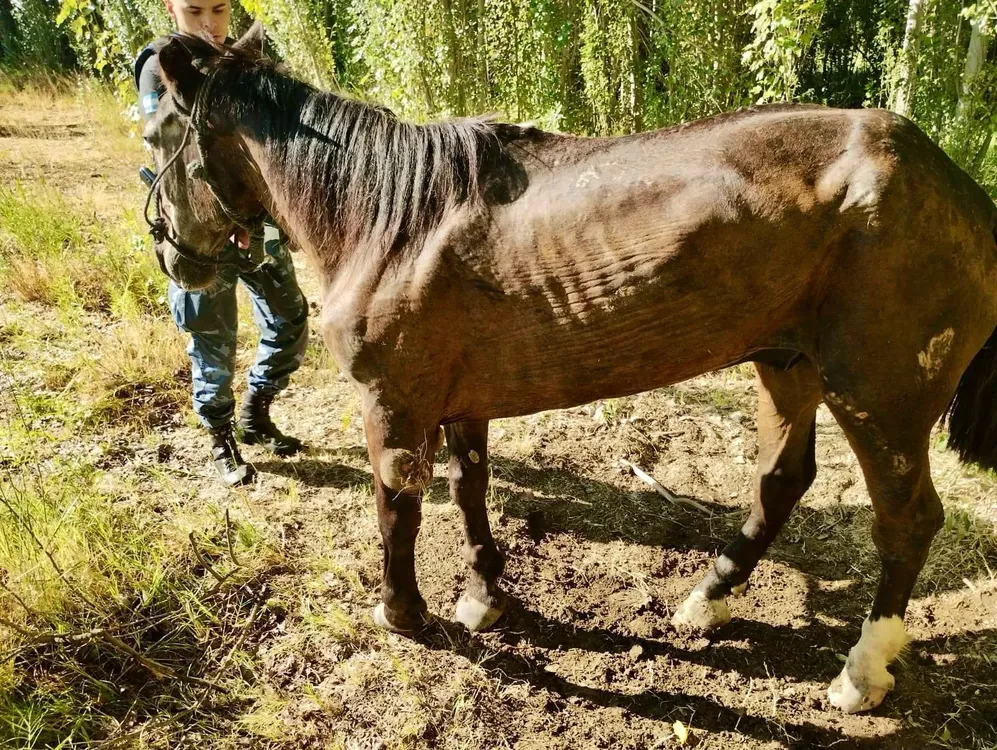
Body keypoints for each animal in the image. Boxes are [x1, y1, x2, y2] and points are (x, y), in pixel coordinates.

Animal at [141, 25, 997, 714]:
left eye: (155, 138)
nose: (175, 260)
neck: (392, 221)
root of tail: (951, 182)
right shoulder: (459, 400)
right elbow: (470, 490)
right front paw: (482, 595)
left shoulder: (394, 405)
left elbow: (397, 511)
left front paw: (402, 613)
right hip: (787, 363)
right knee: (781, 481)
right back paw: (708, 598)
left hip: (879, 397)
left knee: (907, 521)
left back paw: (860, 671)